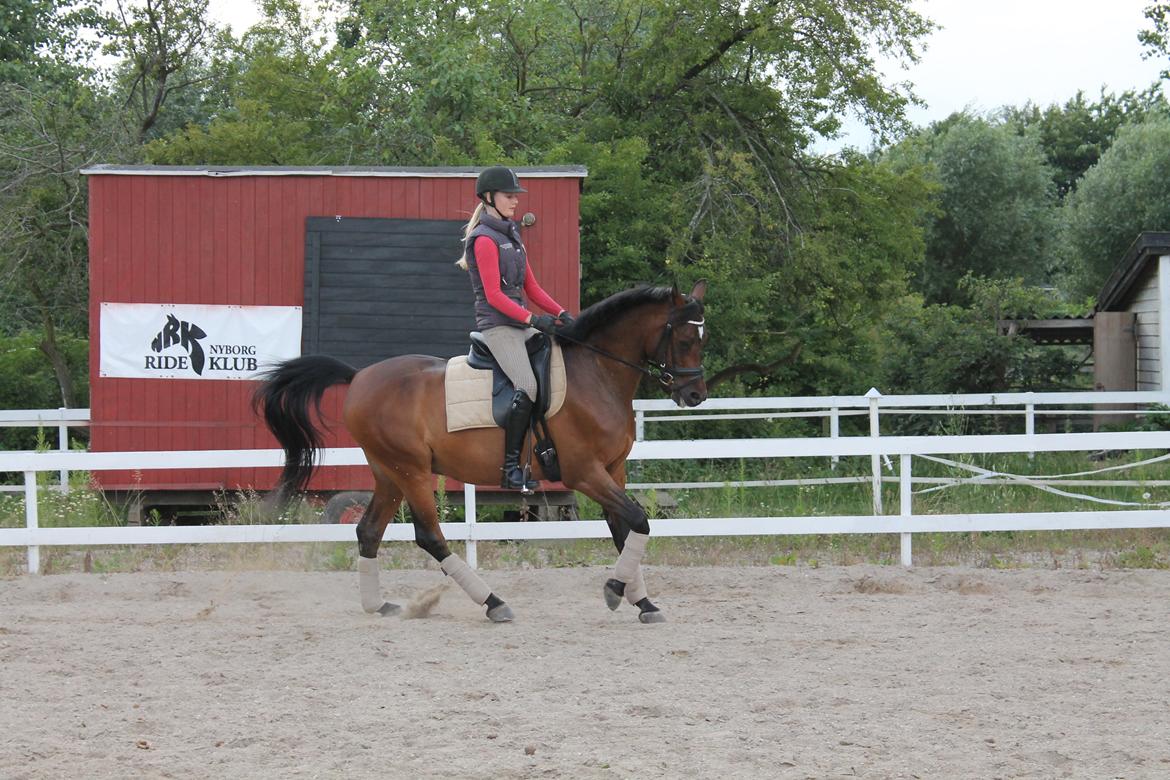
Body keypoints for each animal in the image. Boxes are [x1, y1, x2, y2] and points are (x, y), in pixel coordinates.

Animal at [255, 280, 706, 622]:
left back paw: (378, 605)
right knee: (429, 535)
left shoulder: (613, 470)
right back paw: (493, 603)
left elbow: (624, 529)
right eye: (685, 338)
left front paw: (643, 602)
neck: (595, 374)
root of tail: (359, 376)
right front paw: (615, 590)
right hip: (412, 471)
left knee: (368, 531)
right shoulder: (584, 473)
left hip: (389, 473)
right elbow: (639, 520)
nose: (696, 395)